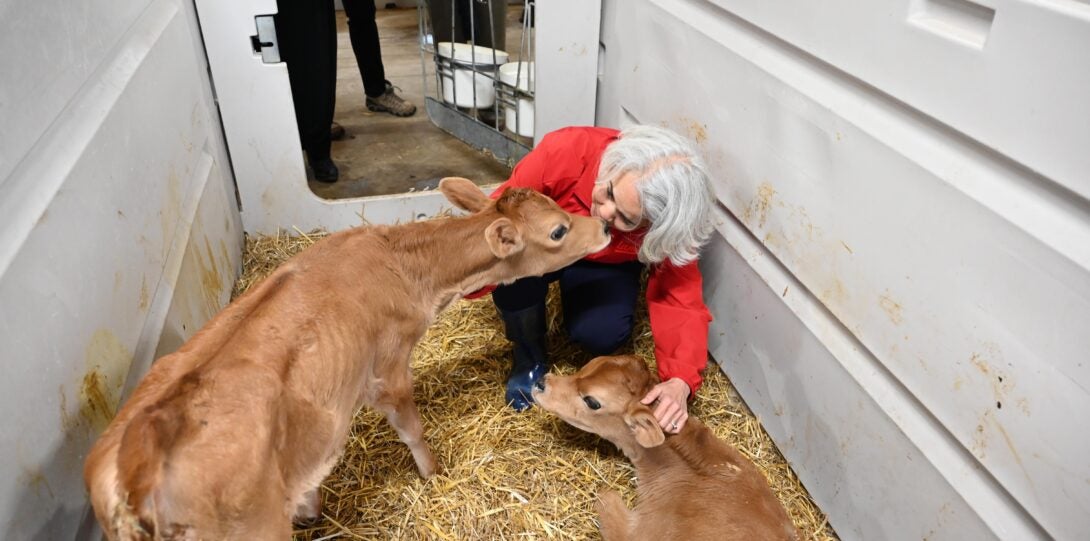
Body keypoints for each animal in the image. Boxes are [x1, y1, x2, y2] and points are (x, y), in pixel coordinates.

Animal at [82, 178, 614, 541]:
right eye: (559, 229)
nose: (605, 225)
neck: (406, 269)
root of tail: (136, 468)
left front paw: (311, 507)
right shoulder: (387, 369)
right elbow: (412, 430)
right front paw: (435, 474)